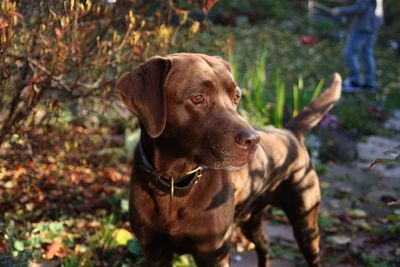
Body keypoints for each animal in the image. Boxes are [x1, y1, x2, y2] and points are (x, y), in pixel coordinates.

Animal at [116, 52, 340, 267]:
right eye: (198, 98)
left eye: (236, 97)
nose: (253, 140)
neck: (175, 182)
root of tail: (290, 132)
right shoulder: (154, 251)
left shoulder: (214, 254)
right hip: (251, 220)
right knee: (264, 244)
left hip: (305, 222)